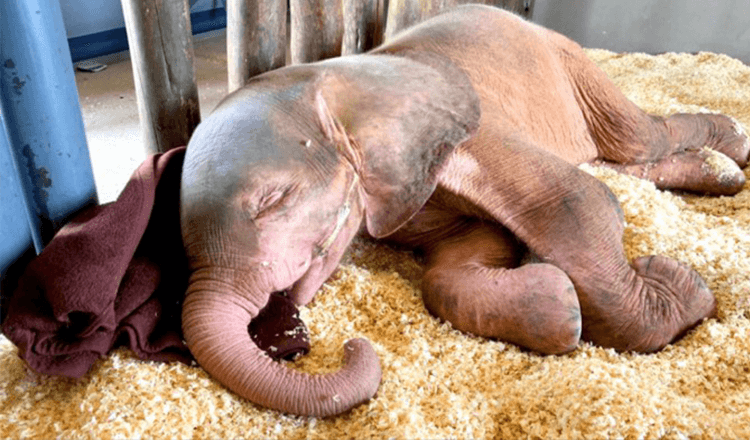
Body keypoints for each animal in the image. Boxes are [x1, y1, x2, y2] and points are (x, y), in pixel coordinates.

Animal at [179, 6, 748, 420]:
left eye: (273, 200)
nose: (349, 346)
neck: (338, 79)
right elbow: (463, 255)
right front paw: (559, 304)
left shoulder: (471, 126)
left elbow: (574, 200)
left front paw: (682, 288)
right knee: (623, 162)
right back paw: (718, 173)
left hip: (567, 62)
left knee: (639, 138)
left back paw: (731, 148)